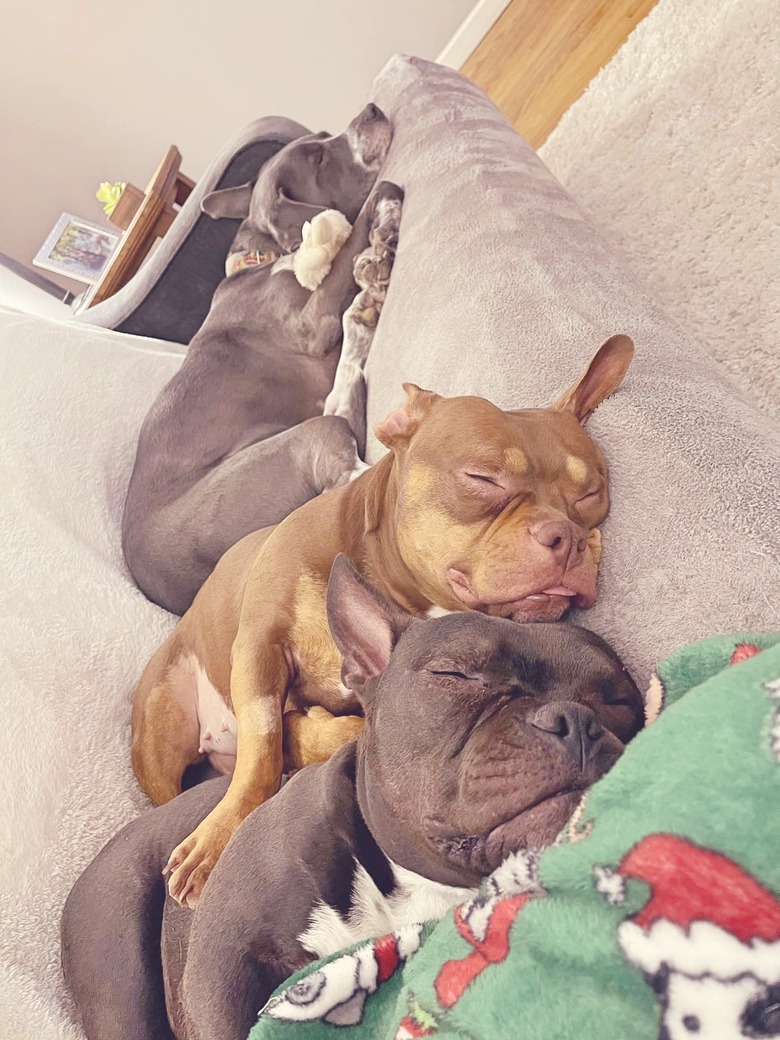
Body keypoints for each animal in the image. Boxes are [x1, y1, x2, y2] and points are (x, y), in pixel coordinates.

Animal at [62, 557, 648, 1040]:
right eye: (454, 673)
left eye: (621, 701)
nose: (576, 721)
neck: (408, 889)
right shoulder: (220, 958)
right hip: (119, 950)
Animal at [123, 101, 403, 611]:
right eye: (317, 159)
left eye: (324, 136)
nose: (372, 109)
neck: (268, 256)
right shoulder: (311, 325)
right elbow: (362, 216)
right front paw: (384, 204)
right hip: (277, 463)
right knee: (348, 476)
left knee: (344, 393)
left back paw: (367, 306)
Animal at [131, 332, 636, 902]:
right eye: (482, 478)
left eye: (591, 493)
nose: (568, 535)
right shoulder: (260, 648)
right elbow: (262, 747)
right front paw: (220, 838)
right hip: (159, 733)